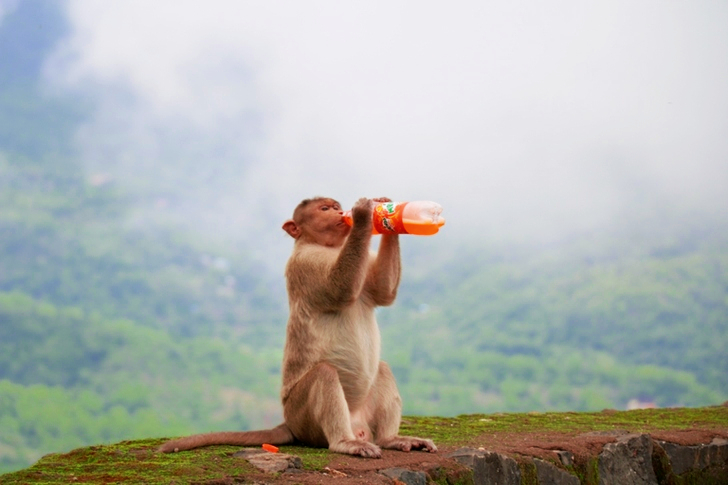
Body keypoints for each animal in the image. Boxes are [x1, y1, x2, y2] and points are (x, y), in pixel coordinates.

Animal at [158, 196, 436, 458]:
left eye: (335, 206)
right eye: (325, 209)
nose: (340, 212)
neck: (325, 246)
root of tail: (289, 423)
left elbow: (382, 293)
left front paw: (388, 212)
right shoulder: (304, 263)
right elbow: (340, 290)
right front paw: (362, 214)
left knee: (382, 367)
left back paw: (390, 439)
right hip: (303, 417)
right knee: (324, 374)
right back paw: (344, 443)